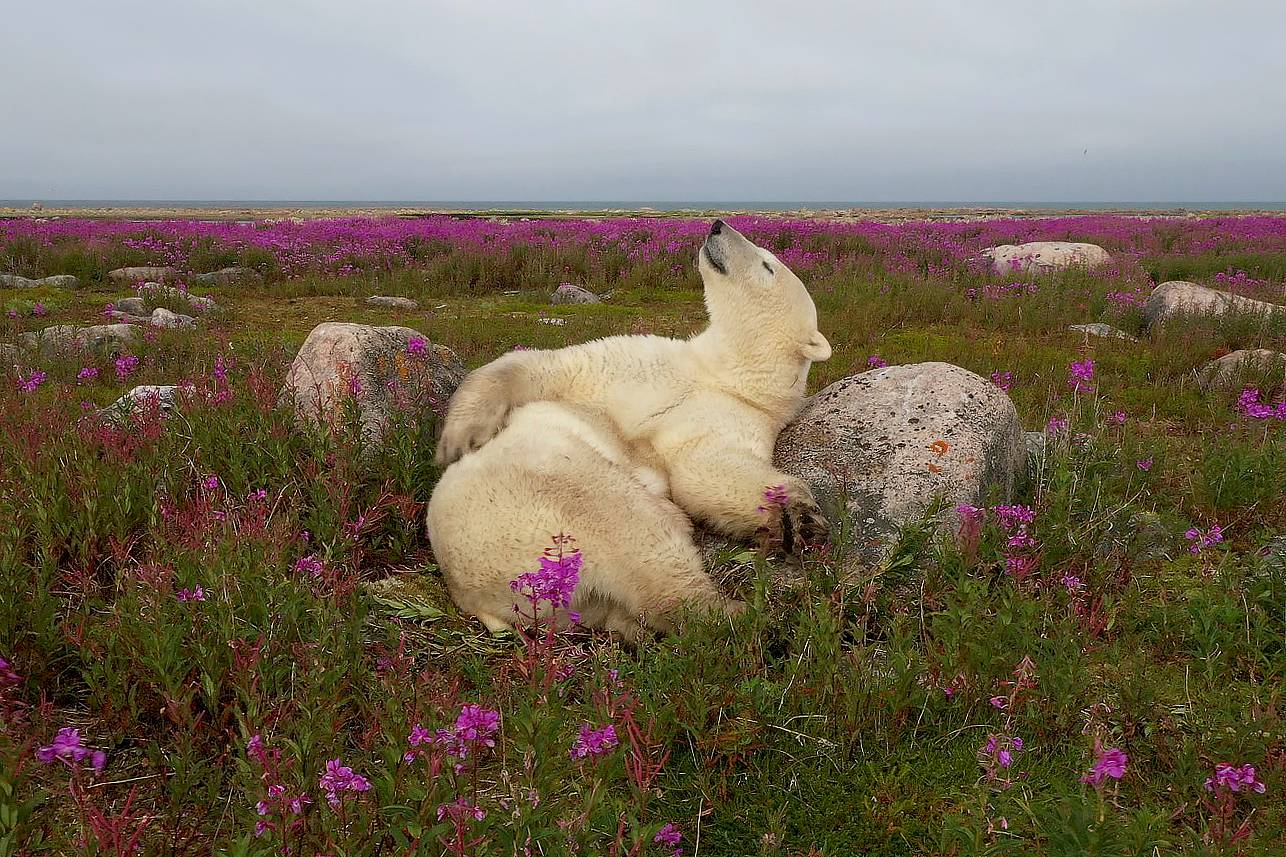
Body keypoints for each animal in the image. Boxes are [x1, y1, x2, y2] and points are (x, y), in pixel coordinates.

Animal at [427, 220, 831, 637]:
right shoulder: (642, 366)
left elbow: (708, 469)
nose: (717, 226)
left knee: (641, 546)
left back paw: (747, 615)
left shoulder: (737, 414)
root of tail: (475, 596)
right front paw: (458, 437)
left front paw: (802, 518)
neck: (723, 373)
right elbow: (552, 368)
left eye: (768, 264)